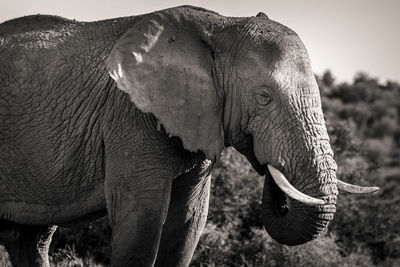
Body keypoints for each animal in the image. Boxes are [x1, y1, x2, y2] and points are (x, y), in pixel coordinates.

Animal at [0, 5, 378, 266]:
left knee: (32, 240)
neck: (223, 25)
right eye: (263, 97)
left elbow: (189, 222)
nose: (270, 165)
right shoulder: (130, 115)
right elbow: (141, 223)